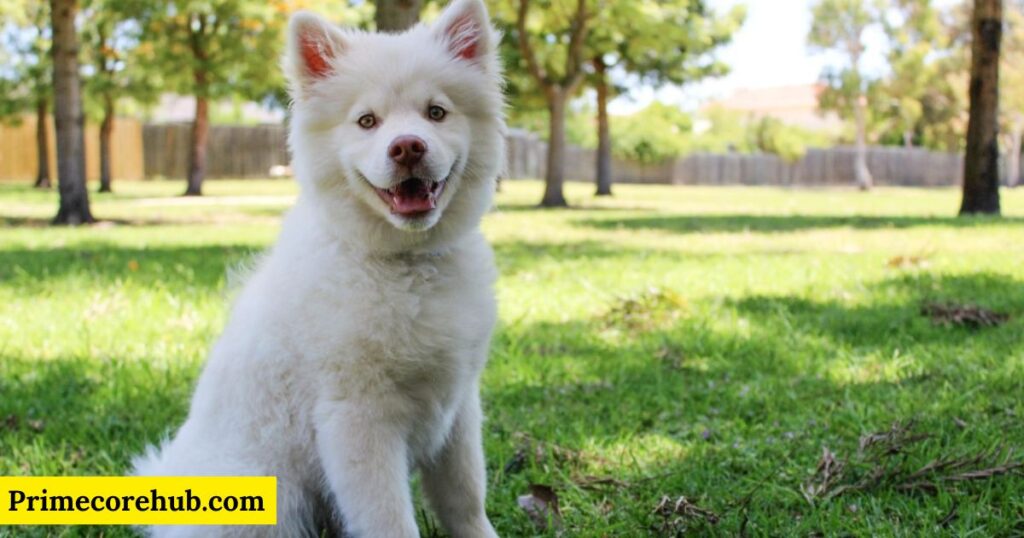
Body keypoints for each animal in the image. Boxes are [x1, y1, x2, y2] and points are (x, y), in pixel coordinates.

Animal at [135, 2, 503, 532]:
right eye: (367, 121)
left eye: (436, 112)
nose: (407, 146)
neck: (405, 263)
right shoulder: (357, 418)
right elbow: (391, 520)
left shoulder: (458, 406)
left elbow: (466, 498)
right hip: (271, 497)